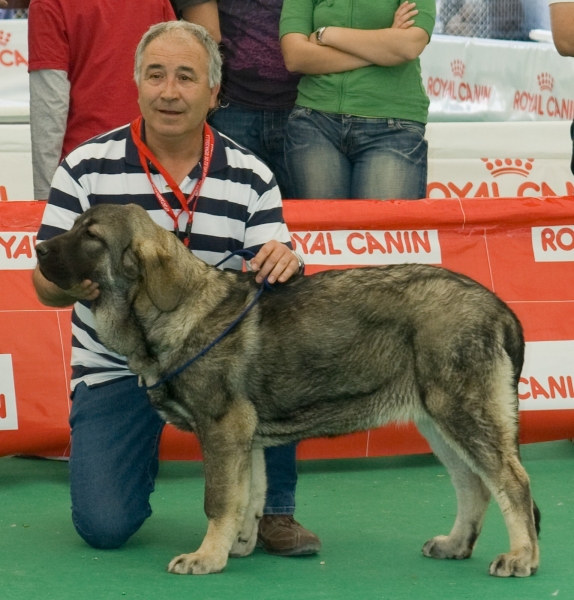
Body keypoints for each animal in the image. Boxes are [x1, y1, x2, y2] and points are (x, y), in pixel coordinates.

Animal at [35, 205, 540, 576]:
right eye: (74, 226)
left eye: (91, 236)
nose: (38, 248)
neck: (174, 310)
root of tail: (499, 308)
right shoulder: (246, 438)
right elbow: (248, 497)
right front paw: (235, 546)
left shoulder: (223, 428)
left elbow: (219, 498)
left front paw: (206, 557)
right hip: (439, 421)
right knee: (474, 485)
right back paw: (456, 544)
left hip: (463, 412)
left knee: (512, 482)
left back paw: (522, 556)